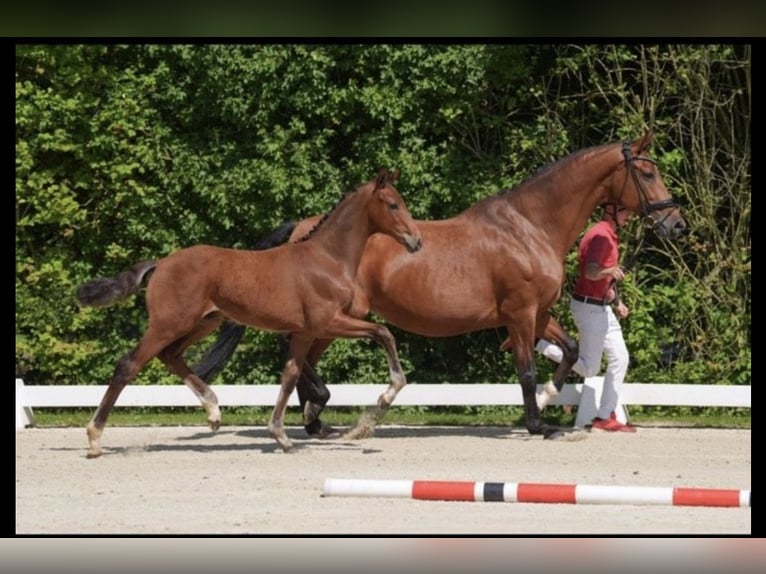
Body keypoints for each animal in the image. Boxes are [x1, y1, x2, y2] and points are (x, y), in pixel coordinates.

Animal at [74, 168, 424, 460]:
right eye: (393, 205)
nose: (416, 241)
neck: (326, 259)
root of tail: (161, 264)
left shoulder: (306, 331)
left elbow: (290, 375)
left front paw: (282, 437)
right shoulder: (329, 322)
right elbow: (383, 333)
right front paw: (387, 395)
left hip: (203, 322)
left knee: (171, 356)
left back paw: (213, 412)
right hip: (169, 324)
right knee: (128, 365)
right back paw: (94, 439)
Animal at [195, 134, 688, 440]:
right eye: (647, 173)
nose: (677, 224)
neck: (529, 227)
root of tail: (305, 229)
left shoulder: (539, 314)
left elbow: (567, 353)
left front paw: (549, 400)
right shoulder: (519, 314)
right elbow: (526, 370)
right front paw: (538, 424)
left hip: (338, 319)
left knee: (302, 358)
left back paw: (318, 421)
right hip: (340, 317)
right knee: (294, 351)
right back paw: (324, 411)